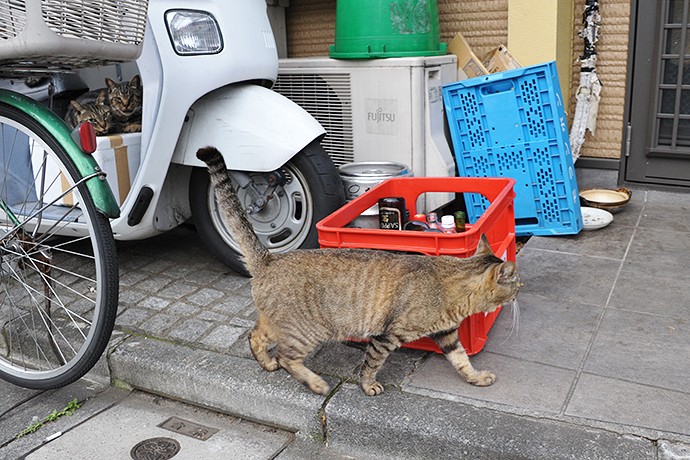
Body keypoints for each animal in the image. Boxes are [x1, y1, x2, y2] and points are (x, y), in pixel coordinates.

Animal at [196, 146, 520, 396]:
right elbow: (372, 364)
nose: (521, 290)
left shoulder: (447, 335)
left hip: (277, 322)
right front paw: (368, 386)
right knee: (288, 358)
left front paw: (476, 378)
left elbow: (462, 360)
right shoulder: (387, 335)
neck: (450, 288)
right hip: (308, 330)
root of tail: (270, 260)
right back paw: (316, 384)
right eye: (516, 282)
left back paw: (266, 363)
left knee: (256, 337)